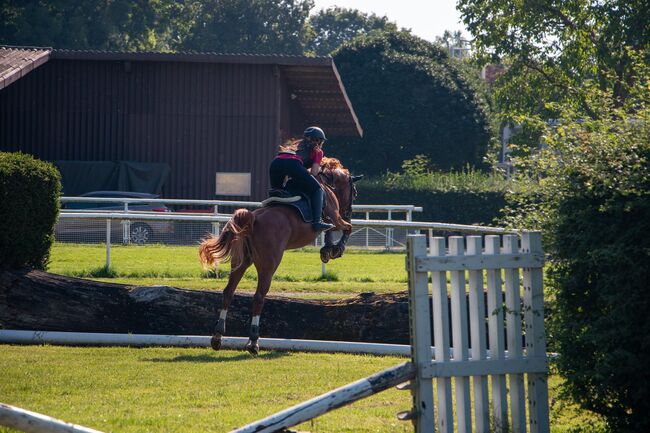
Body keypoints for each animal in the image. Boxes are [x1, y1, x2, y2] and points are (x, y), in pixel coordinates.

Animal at [197, 157, 360, 352]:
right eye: (353, 192)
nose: (348, 212)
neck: (327, 184)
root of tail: (253, 219)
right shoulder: (334, 218)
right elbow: (346, 228)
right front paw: (337, 249)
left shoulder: (332, 220)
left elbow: (330, 232)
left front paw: (327, 250)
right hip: (269, 264)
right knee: (259, 296)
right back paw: (253, 341)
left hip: (241, 261)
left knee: (229, 291)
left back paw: (217, 336)